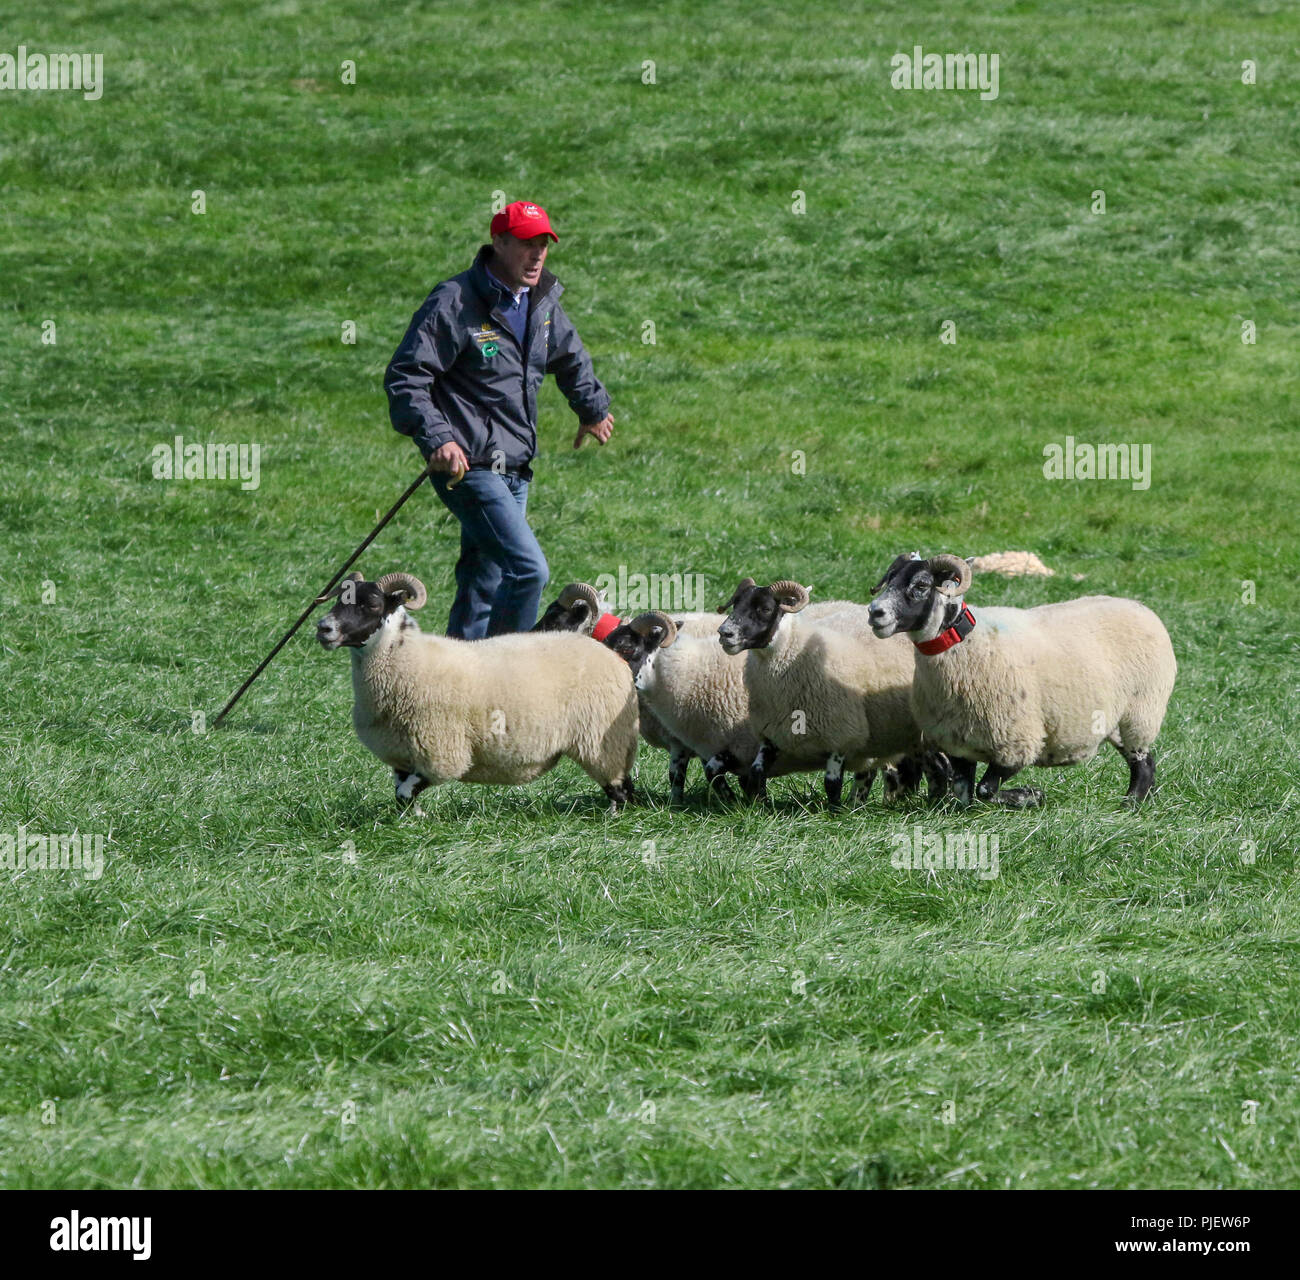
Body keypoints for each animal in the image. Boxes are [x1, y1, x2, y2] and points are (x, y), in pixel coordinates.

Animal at [315, 572, 639, 812]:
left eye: (371, 604)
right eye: (339, 598)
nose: (323, 628)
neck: (408, 659)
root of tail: (607, 651)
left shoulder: (442, 753)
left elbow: (407, 792)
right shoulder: (402, 755)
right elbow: (401, 794)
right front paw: (411, 821)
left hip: (603, 741)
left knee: (621, 789)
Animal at [716, 579, 925, 808]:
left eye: (765, 609)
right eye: (736, 604)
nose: (724, 633)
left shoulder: (841, 736)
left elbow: (831, 784)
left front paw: (835, 812)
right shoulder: (770, 734)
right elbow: (756, 772)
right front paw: (759, 806)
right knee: (870, 772)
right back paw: (858, 803)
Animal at [866, 553, 1177, 807]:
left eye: (921, 586)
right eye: (889, 579)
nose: (874, 612)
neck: (966, 647)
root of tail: (1140, 607)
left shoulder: (1016, 742)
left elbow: (985, 790)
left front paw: (1030, 796)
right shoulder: (958, 744)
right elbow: (965, 793)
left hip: (1139, 712)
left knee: (1143, 763)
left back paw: (1130, 805)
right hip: (1116, 720)